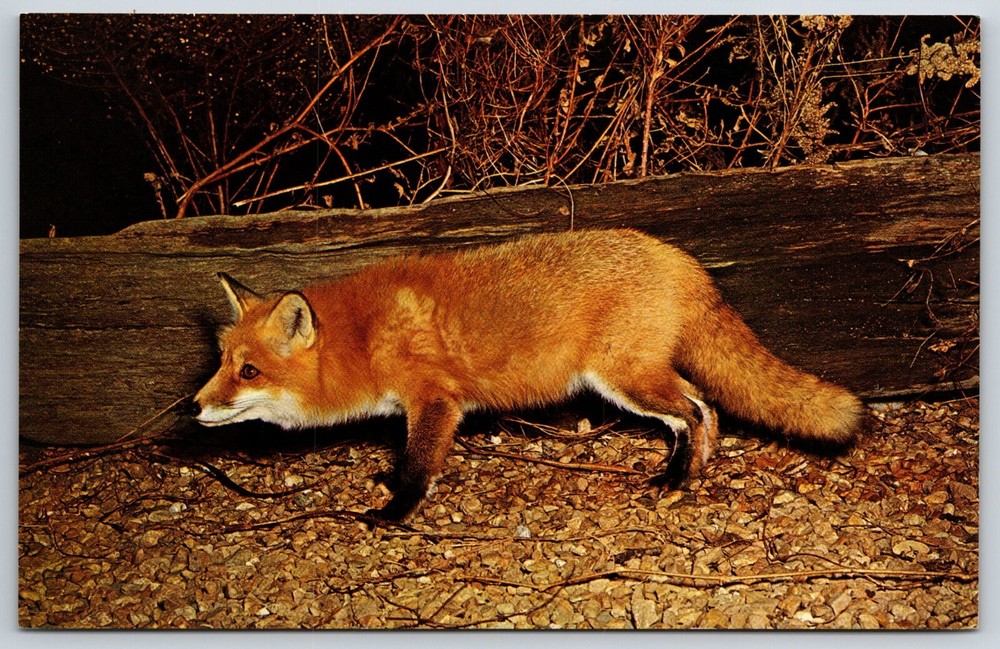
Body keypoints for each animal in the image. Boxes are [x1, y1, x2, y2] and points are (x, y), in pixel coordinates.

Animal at [192, 228, 864, 522]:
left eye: (249, 371)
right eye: (222, 363)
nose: (194, 407)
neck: (362, 337)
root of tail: (676, 255)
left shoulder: (435, 401)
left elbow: (418, 466)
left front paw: (394, 513)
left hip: (624, 380)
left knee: (696, 412)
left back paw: (677, 480)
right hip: (642, 378)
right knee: (706, 411)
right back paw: (691, 475)